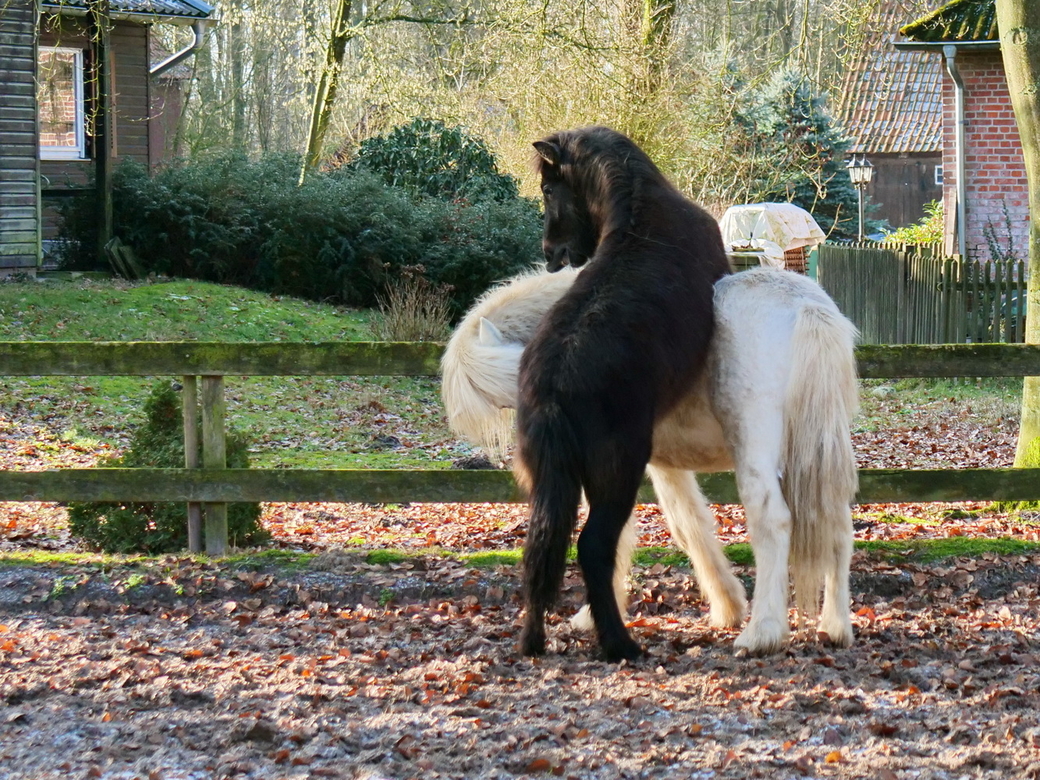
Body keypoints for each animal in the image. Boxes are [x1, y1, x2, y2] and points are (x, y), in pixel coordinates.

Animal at [443, 268, 856, 653]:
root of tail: (803, 304)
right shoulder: (665, 466)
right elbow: (690, 526)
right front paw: (727, 606)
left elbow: (622, 536)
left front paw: (591, 617)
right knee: (836, 525)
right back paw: (835, 627)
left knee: (772, 521)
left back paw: (761, 634)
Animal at [517, 126, 732, 661]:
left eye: (549, 190)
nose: (550, 253)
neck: (643, 209)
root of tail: (551, 390)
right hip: (619, 470)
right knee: (594, 547)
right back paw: (618, 643)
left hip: (551, 481)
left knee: (541, 547)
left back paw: (534, 639)